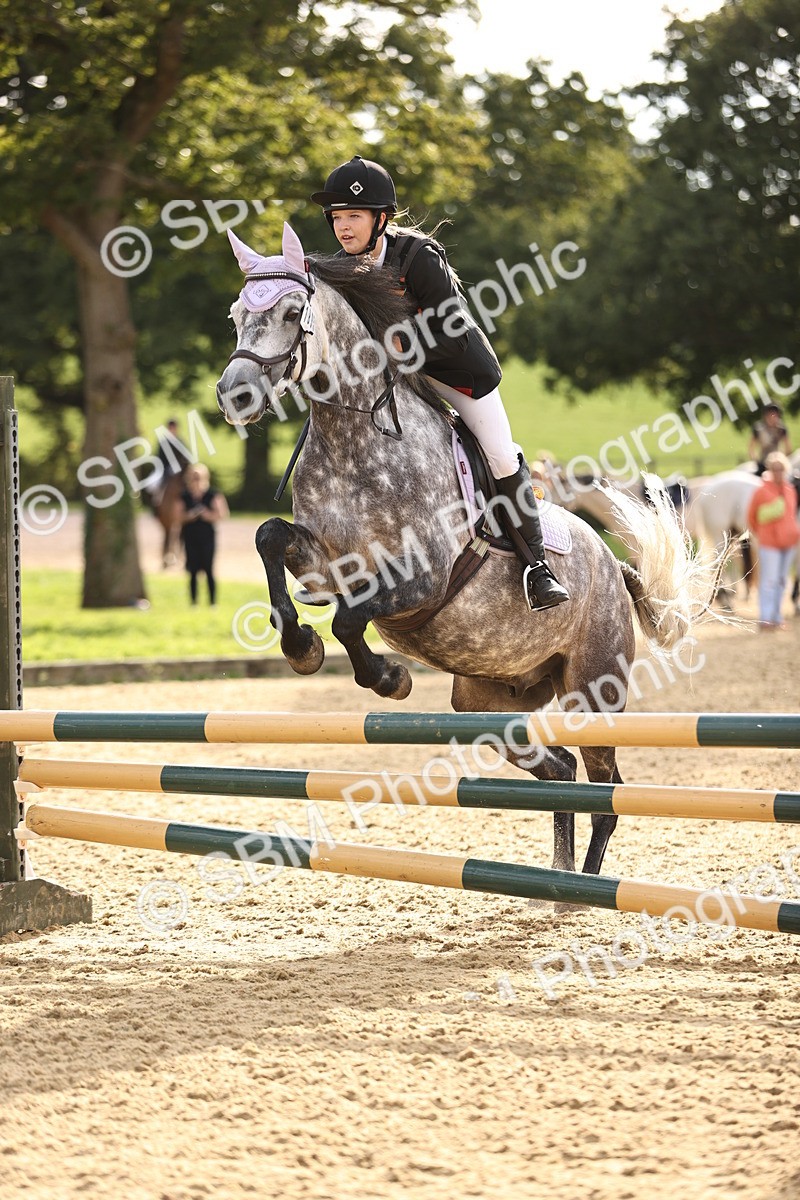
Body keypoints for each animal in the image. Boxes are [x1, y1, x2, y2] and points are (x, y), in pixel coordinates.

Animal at [215, 223, 720, 879]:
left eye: (290, 312)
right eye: (234, 317)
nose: (233, 395)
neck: (355, 437)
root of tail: (614, 566)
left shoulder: (420, 578)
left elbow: (352, 619)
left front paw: (388, 678)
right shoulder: (328, 563)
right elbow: (270, 539)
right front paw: (302, 647)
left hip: (595, 688)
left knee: (606, 791)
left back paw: (583, 889)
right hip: (486, 701)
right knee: (562, 770)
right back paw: (555, 884)